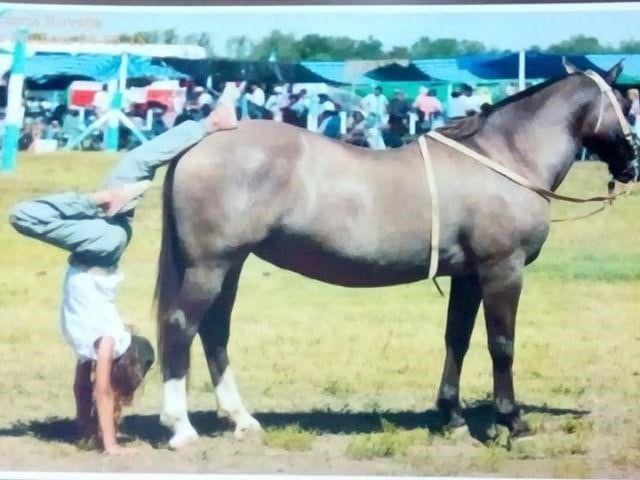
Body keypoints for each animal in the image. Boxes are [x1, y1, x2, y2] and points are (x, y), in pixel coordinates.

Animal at [152, 62, 636, 448]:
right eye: (625, 104)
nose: (631, 165)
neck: (505, 158)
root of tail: (199, 143)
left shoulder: (467, 276)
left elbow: (457, 339)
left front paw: (453, 417)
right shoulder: (502, 270)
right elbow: (502, 345)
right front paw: (512, 423)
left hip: (230, 266)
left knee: (215, 331)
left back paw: (241, 420)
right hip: (210, 267)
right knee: (182, 327)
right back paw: (180, 428)